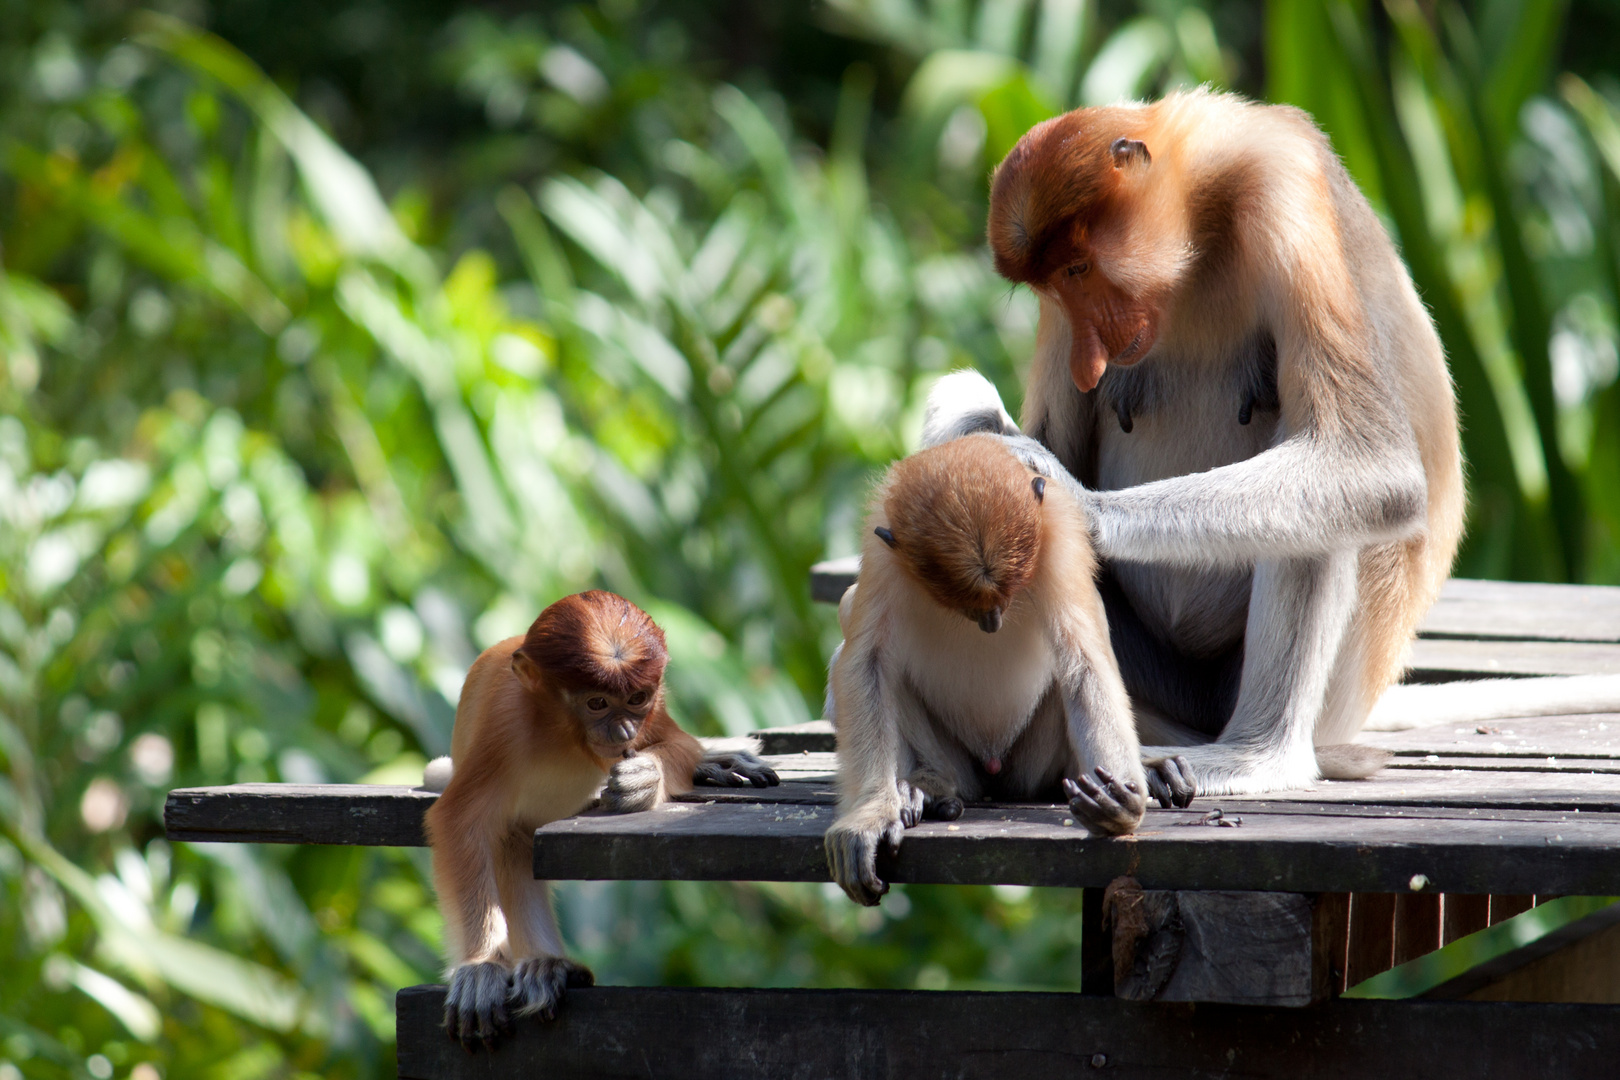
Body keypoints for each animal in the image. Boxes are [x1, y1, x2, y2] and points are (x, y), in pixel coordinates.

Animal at [424, 592, 777, 1049]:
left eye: (637, 698)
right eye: (596, 702)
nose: (625, 732)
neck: (562, 733)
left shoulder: (657, 705)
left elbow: (678, 744)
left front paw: (644, 779)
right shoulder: (504, 722)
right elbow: (460, 819)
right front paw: (480, 968)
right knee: (510, 840)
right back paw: (544, 966)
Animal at [822, 375, 1192, 906]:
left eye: (1013, 586)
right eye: (963, 601)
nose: (992, 622)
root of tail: (994, 772)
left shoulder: (1056, 532)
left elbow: (1083, 658)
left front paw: (1121, 806)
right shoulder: (885, 549)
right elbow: (865, 663)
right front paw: (867, 820)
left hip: (1028, 763)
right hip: (961, 762)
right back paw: (927, 787)